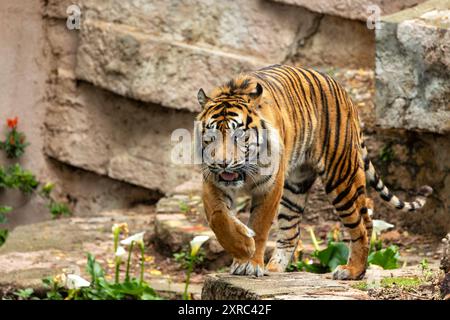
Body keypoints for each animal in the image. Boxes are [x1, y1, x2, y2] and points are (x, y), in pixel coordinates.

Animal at [195, 63, 434, 278]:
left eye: (238, 135)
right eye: (212, 136)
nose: (222, 163)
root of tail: (346, 96)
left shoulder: (270, 186)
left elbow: (260, 225)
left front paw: (250, 261)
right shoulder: (212, 182)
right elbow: (218, 218)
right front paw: (242, 248)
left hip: (341, 177)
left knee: (362, 223)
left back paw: (352, 271)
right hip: (295, 187)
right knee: (293, 232)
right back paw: (275, 270)